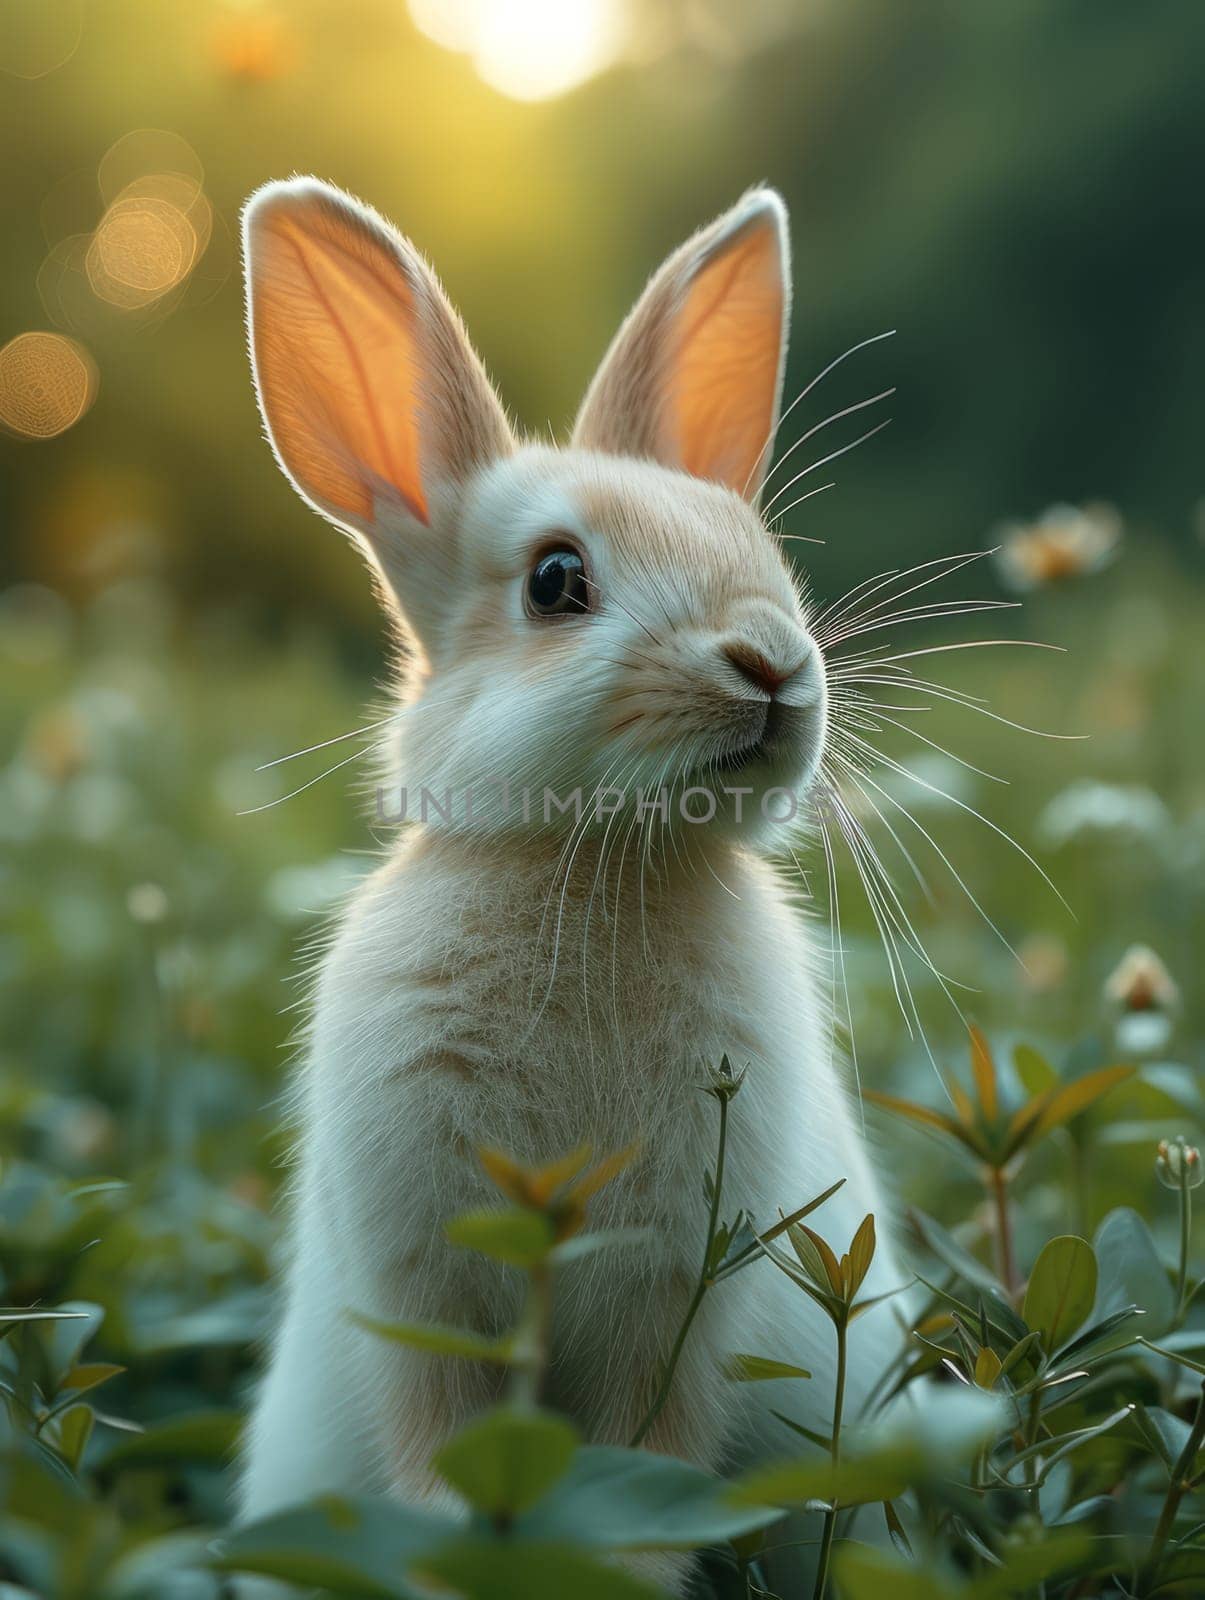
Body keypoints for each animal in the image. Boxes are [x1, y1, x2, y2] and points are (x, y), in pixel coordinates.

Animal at [232, 181, 902, 1593]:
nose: (773, 663)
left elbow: (646, 1461)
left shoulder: (680, 1301)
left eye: (761, 550)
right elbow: (446, 1453)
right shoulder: (429, 1283)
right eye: (555, 582)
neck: (599, 870)